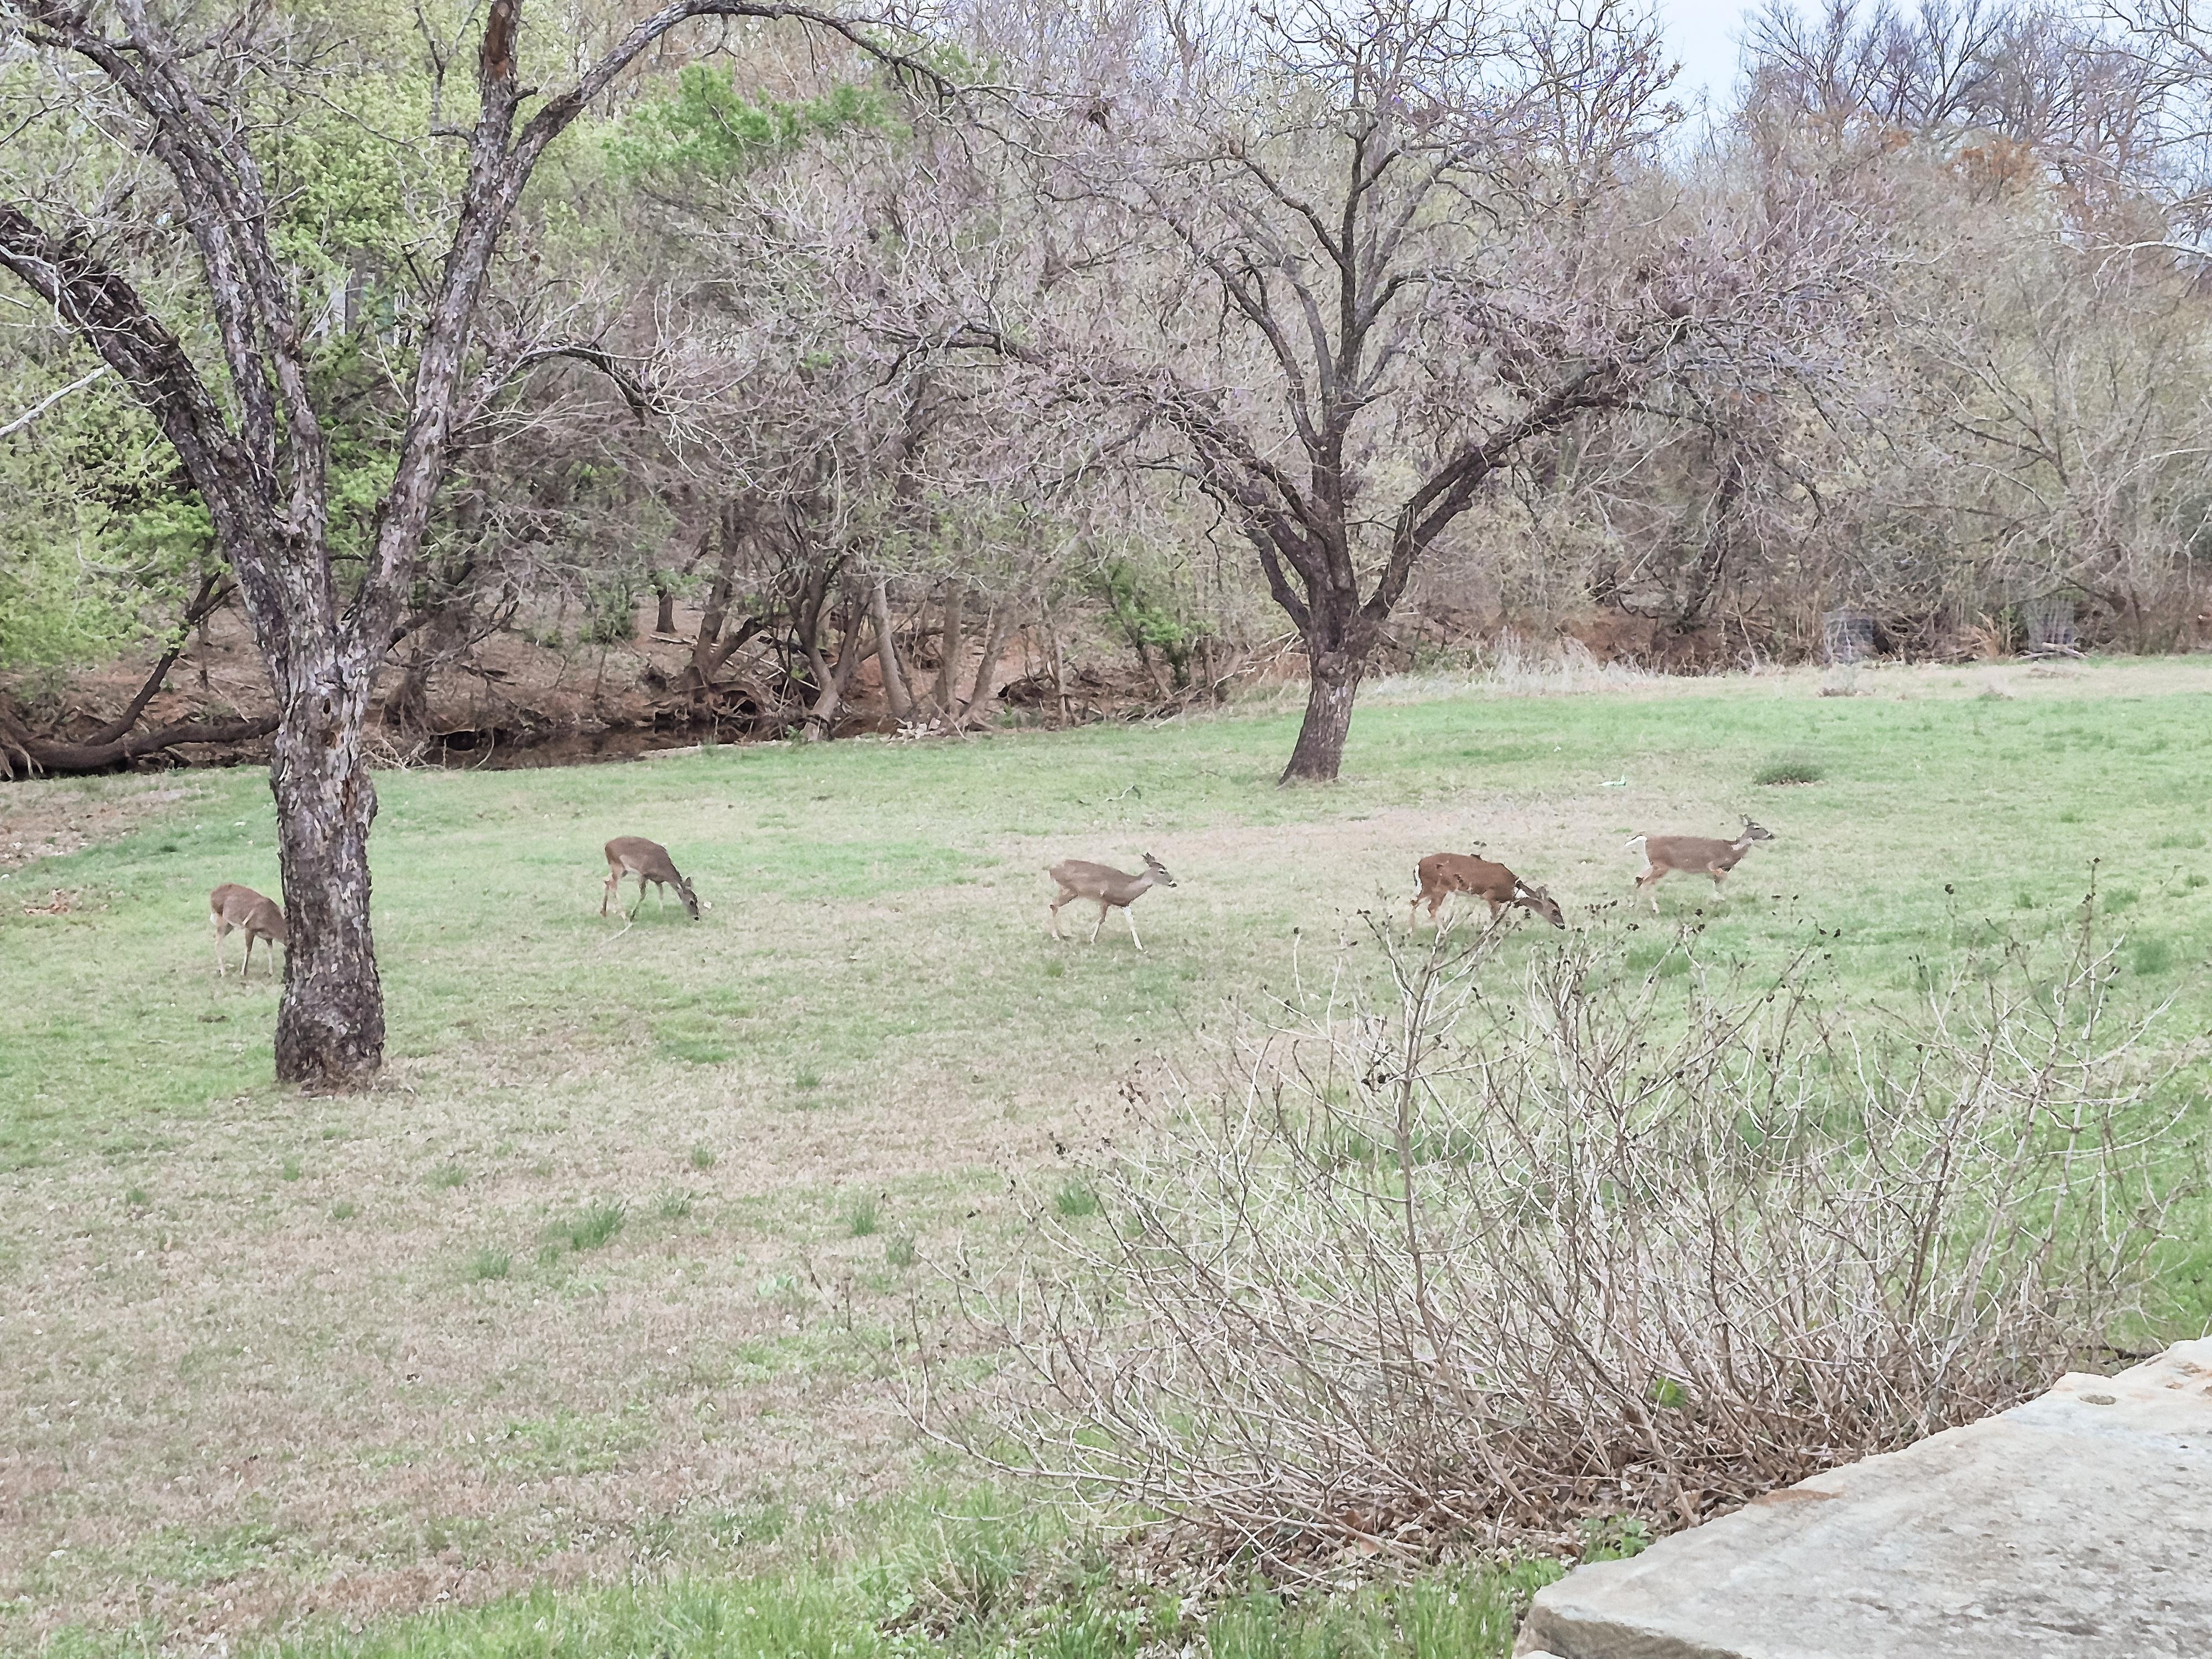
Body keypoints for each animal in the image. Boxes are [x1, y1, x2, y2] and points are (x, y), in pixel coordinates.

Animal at [209, 883, 287, 979]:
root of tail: (212, 893)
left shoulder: (268, 937)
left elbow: (270, 949)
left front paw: (271, 972)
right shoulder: (249, 928)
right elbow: (248, 949)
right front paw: (243, 973)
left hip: (229, 925)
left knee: (217, 938)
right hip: (222, 919)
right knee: (218, 941)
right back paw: (223, 973)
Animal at [602, 836, 700, 921]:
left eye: (696, 899)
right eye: (691, 901)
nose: (697, 916)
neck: (664, 868)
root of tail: (606, 847)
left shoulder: (658, 881)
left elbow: (661, 894)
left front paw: (662, 913)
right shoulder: (644, 874)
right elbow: (643, 894)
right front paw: (632, 915)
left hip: (621, 870)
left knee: (607, 881)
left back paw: (604, 912)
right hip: (618, 866)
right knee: (612, 885)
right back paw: (624, 916)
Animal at [1047, 852, 1176, 949]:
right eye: (1161, 871)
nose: (1174, 883)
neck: (1127, 887)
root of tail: (1052, 870)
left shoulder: (1124, 904)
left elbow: (1128, 922)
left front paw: (1139, 946)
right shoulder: (1105, 900)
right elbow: (1102, 920)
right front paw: (1092, 939)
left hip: (1071, 892)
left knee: (1054, 905)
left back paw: (1063, 934)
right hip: (1070, 890)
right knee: (1054, 904)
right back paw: (1056, 936)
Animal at [1409, 853, 1565, 931]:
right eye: (1555, 911)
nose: (1563, 926)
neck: (1513, 889)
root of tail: (1418, 865)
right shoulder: (1490, 895)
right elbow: (1494, 918)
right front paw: (1488, 932)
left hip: (1426, 888)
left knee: (1414, 902)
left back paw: (1411, 932)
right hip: (1439, 887)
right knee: (1431, 908)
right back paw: (1443, 933)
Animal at [1625, 818, 1774, 911]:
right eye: (1757, 827)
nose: (1772, 835)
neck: (1732, 849)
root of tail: (1646, 840)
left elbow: (1717, 885)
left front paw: (1715, 902)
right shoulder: (1713, 865)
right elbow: (1722, 881)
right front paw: (1720, 900)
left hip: (1651, 864)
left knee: (1639, 878)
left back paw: (1632, 904)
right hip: (1662, 865)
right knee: (1646, 882)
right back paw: (1653, 909)